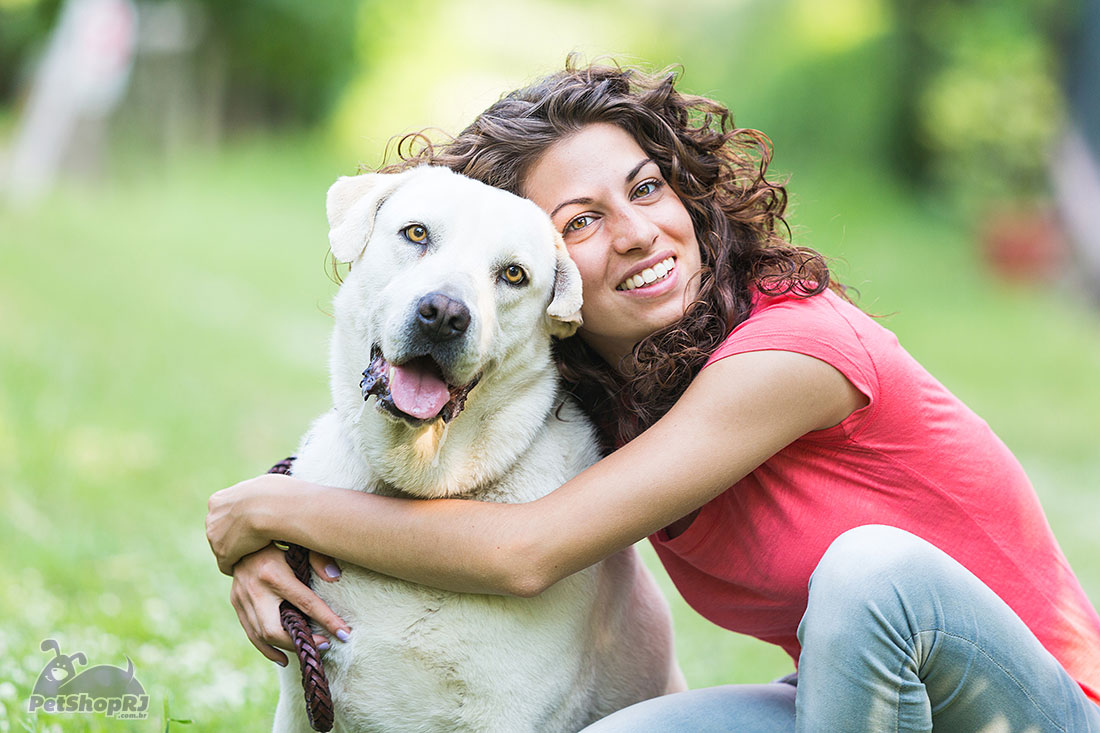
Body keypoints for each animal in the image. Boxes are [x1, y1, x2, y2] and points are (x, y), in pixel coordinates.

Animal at [275, 167, 682, 730]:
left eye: (513, 274)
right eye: (417, 233)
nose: (444, 314)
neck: (416, 491)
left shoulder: (505, 713)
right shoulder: (300, 702)